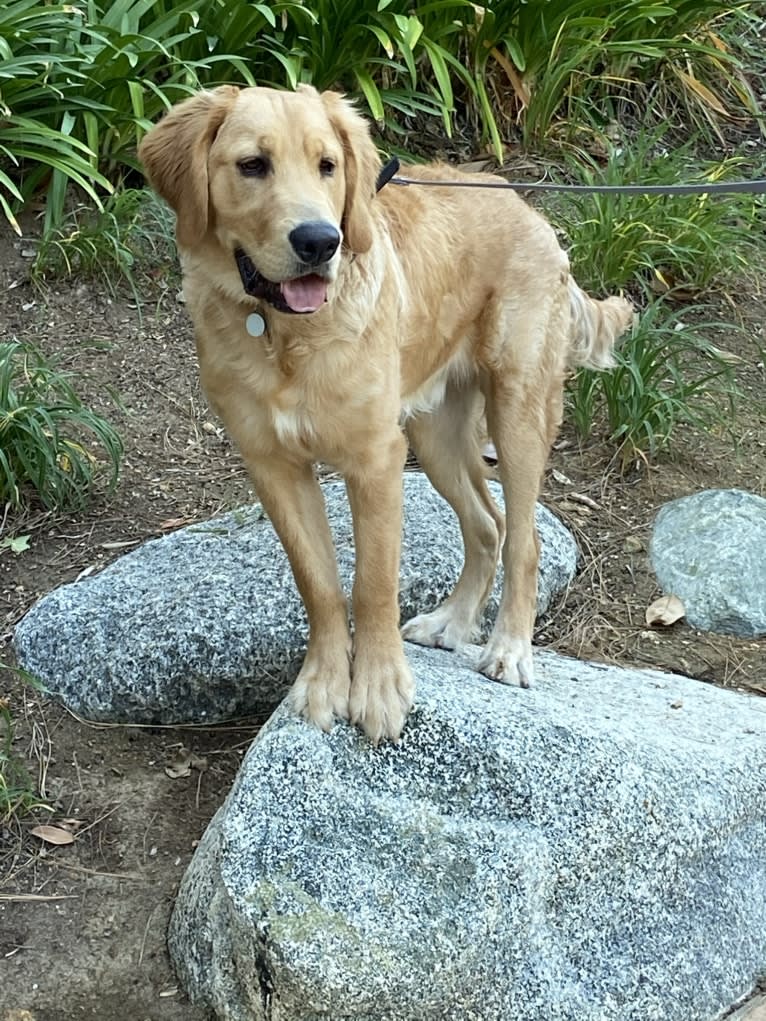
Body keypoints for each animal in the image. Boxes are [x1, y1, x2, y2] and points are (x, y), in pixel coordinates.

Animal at [139, 85, 637, 743]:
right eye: (252, 165)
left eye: (328, 165)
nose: (319, 242)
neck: (286, 336)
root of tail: (528, 210)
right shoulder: (273, 465)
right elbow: (320, 583)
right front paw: (323, 682)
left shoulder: (375, 460)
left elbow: (374, 583)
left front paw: (377, 689)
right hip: (434, 435)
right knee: (488, 525)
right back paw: (451, 623)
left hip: (516, 413)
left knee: (523, 538)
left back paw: (508, 649)